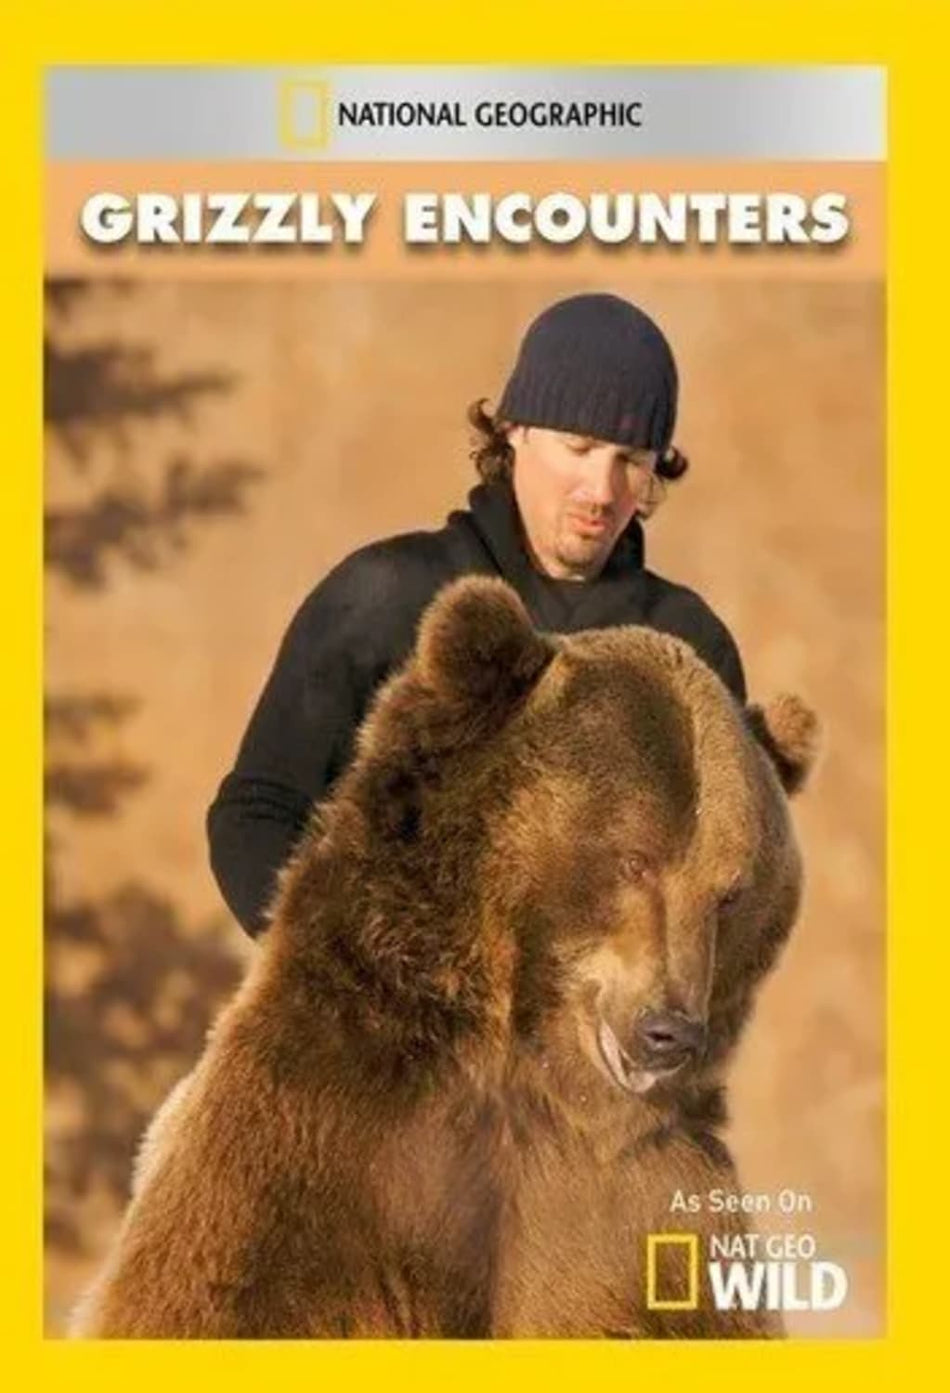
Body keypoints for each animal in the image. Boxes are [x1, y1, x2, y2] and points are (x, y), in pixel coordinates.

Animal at [70, 575, 818, 1339]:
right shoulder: (325, 1158)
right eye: (632, 858)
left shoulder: (634, 1214)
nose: (669, 1031)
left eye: (730, 891)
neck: (530, 1072)